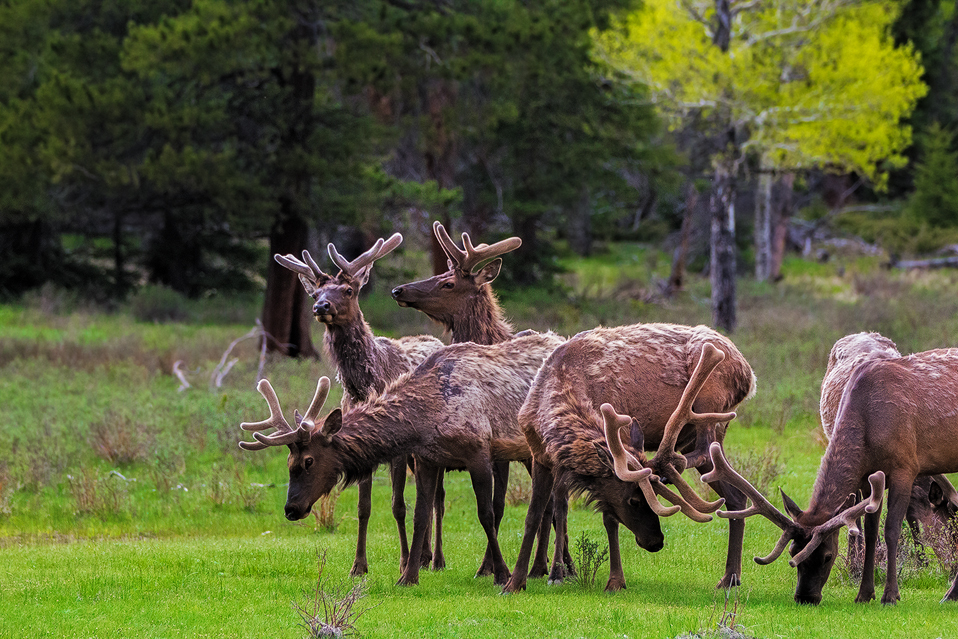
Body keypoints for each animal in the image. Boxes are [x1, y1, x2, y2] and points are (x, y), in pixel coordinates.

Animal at [240, 332, 568, 588]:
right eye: (288, 464)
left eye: (308, 461)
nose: (291, 509)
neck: (425, 417)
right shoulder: (427, 459)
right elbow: (420, 515)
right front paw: (408, 576)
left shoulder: (478, 450)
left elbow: (486, 514)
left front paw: (501, 573)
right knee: (549, 504)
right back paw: (543, 569)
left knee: (554, 504)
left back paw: (553, 570)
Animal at [274, 236, 446, 580]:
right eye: (315, 293)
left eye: (348, 290)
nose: (321, 307)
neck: (366, 385)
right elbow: (363, 508)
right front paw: (359, 565)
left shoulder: (396, 449)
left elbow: (398, 505)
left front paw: (404, 561)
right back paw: (424, 555)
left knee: (437, 497)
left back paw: (434, 558)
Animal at [502, 324, 756, 596]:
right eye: (634, 501)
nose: (656, 541)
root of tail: (748, 374)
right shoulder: (539, 456)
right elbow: (532, 516)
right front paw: (514, 583)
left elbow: (609, 520)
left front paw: (615, 581)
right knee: (735, 495)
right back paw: (730, 576)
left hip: (711, 403)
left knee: (705, 449)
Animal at [704, 344, 958, 604]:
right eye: (793, 553)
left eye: (827, 556)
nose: (805, 597)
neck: (869, 424)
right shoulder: (868, 479)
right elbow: (869, 532)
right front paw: (864, 594)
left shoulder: (905, 467)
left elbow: (891, 529)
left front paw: (890, 595)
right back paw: (950, 594)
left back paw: (949, 593)